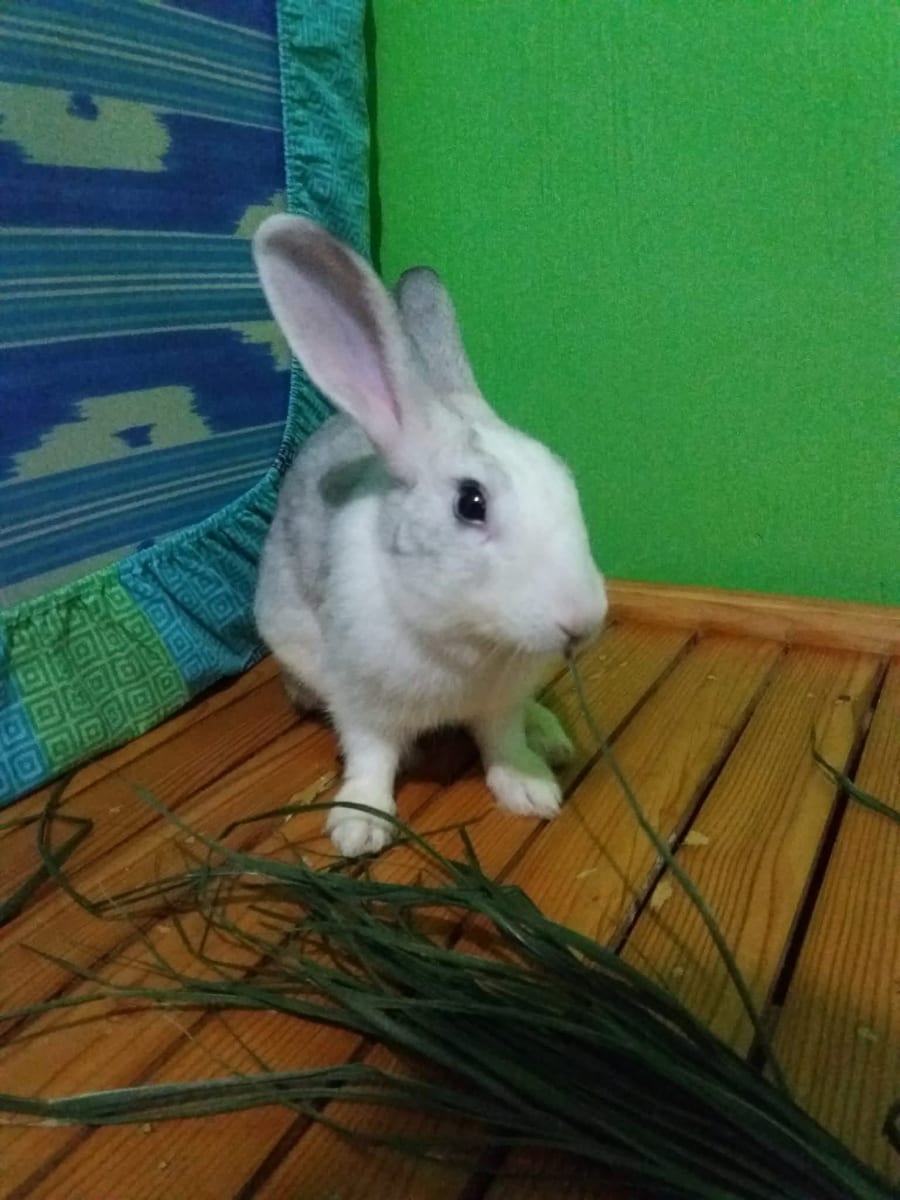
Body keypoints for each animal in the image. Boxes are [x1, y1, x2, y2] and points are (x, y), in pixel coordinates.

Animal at [252, 215, 608, 858]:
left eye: (564, 479)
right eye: (471, 503)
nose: (582, 621)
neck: (468, 639)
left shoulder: (500, 702)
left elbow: (503, 741)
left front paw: (531, 789)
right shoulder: (361, 698)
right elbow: (369, 755)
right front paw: (359, 826)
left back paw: (550, 735)